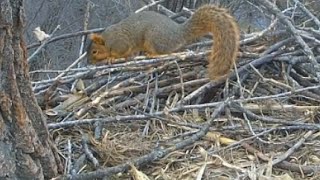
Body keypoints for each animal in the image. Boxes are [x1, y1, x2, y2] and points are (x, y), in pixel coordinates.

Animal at [86, 4, 239, 80]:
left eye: (94, 51)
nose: (89, 62)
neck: (108, 39)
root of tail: (178, 32)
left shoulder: (120, 43)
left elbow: (122, 52)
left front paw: (111, 58)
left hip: (154, 39)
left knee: (162, 53)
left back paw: (152, 55)